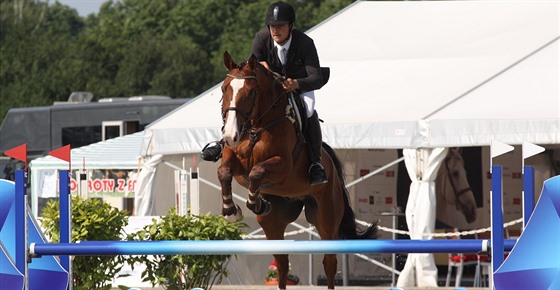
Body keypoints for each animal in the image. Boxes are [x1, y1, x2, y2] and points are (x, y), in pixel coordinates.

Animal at [217, 52, 378, 290]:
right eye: (223, 89)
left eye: (251, 91)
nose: (230, 135)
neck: (257, 125)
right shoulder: (235, 162)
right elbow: (224, 173)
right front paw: (231, 210)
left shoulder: (282, 166)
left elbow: (256, 172)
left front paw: (254, 203)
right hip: (273, 224)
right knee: (283, 263)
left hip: (327, 219)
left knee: (329, 262)